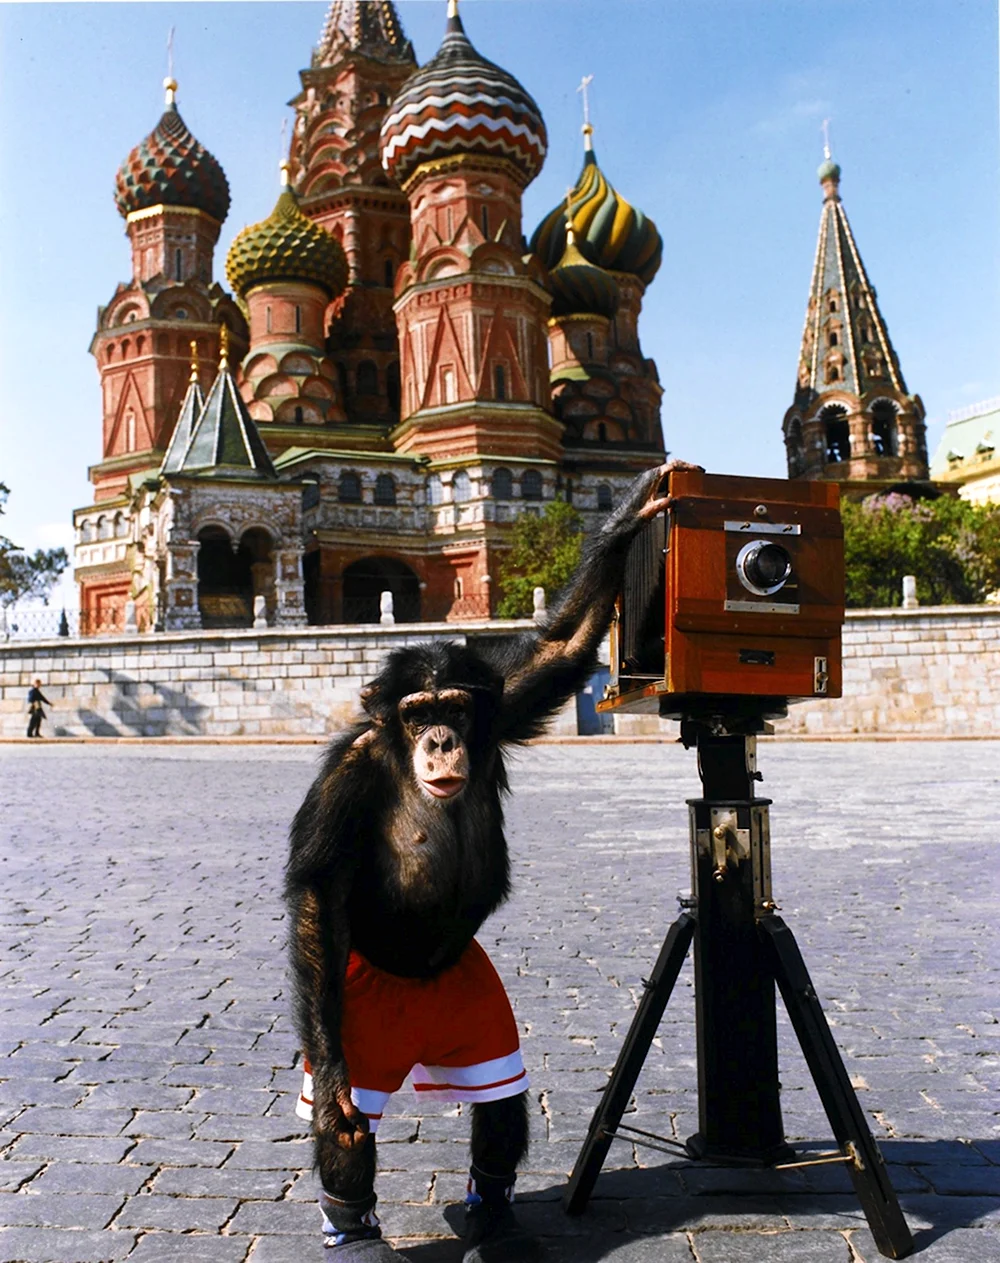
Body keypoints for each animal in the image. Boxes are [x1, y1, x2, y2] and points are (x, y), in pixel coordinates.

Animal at [286, 463, 684, 1260]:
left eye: (454, 708)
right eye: (415, 713)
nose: (440, 739)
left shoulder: (504, 706)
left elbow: (560, 647)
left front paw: (627, 516)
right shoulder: (345, 776)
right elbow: (317, 889)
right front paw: (336, 1081)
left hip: (467, 1002)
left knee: (499, 1102)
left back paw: (493, 1216)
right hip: (358, 997)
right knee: (346, 1122)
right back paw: (354, 1224)